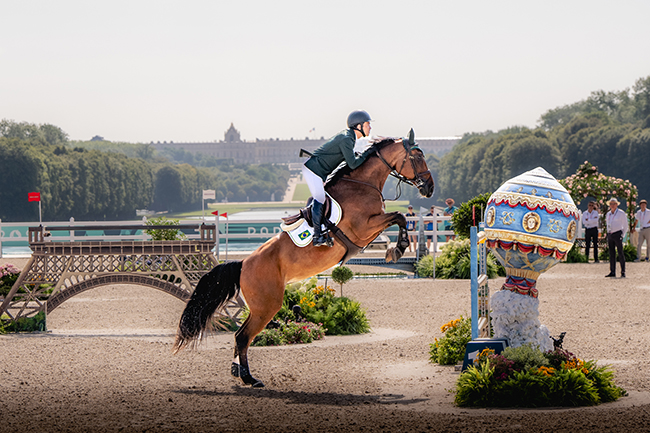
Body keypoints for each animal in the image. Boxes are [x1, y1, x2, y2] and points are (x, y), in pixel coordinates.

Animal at [175, 131, 432, 384]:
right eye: (418, 156)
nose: (429, 188)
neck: (361, 185)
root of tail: (243, 264)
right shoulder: (363, 228)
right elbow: (399, 216)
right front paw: (398, 248)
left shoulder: (368, 230)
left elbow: (398, 218)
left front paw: (396, 247)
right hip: (266, 305)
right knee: (242, 336)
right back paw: (248, 378)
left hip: (260, 307)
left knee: (242, 335)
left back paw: (238, 371)